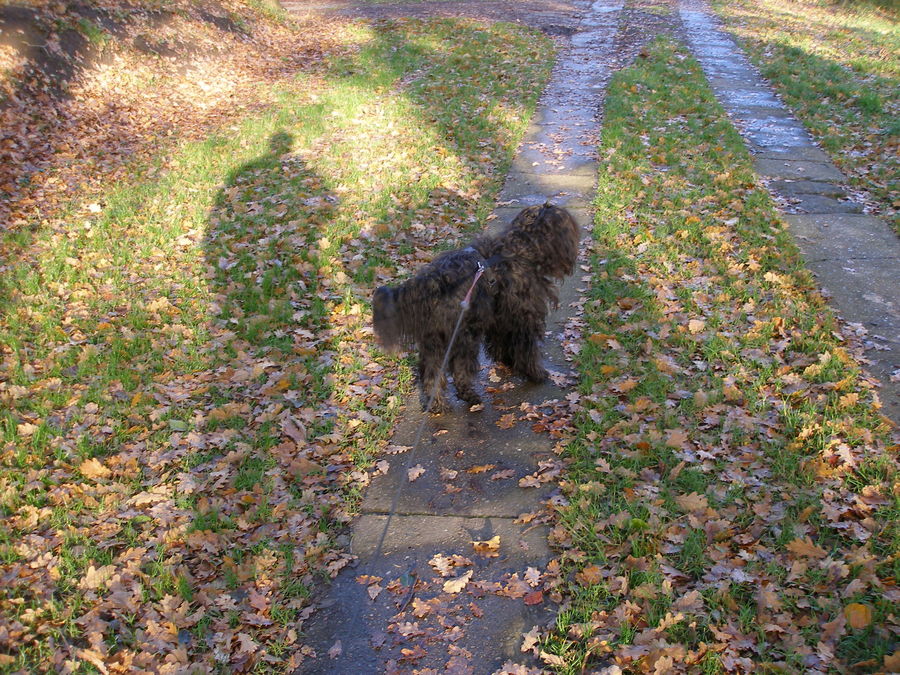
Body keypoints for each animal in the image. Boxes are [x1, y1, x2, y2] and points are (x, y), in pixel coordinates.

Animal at [370, 202, 576, 412]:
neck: (519, 247)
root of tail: (431, 282)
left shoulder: (499, 316)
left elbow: (501, 341)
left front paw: (507, 360)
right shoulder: (522, 316)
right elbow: (527, 348)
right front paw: (535, 373)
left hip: (434, 339)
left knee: (431, 372)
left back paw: (437, 404)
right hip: (463, 335)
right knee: (459, 369)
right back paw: (469, 396)